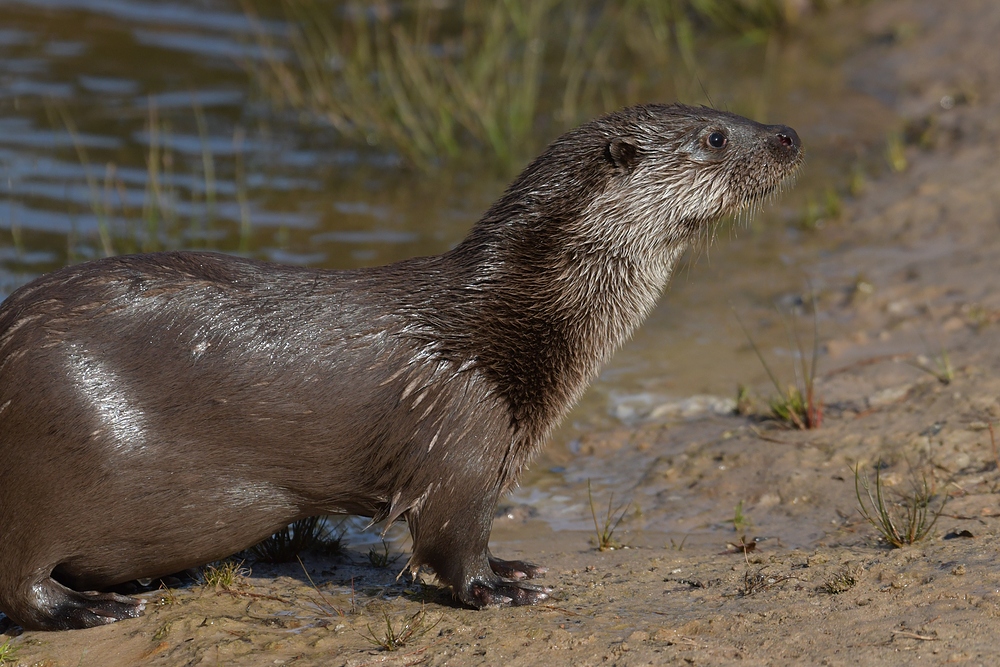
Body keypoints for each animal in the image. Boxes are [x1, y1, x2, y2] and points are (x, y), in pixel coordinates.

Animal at [0, 102, 800, 628]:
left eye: (727, 111)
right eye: (716, 136)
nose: (790, 134)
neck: (502, 333)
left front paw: (515, 566)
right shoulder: (464, 432)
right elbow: (451, 539)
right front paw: (499, 590)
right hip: (44, 454)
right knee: (20, 581)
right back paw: (93, 609)